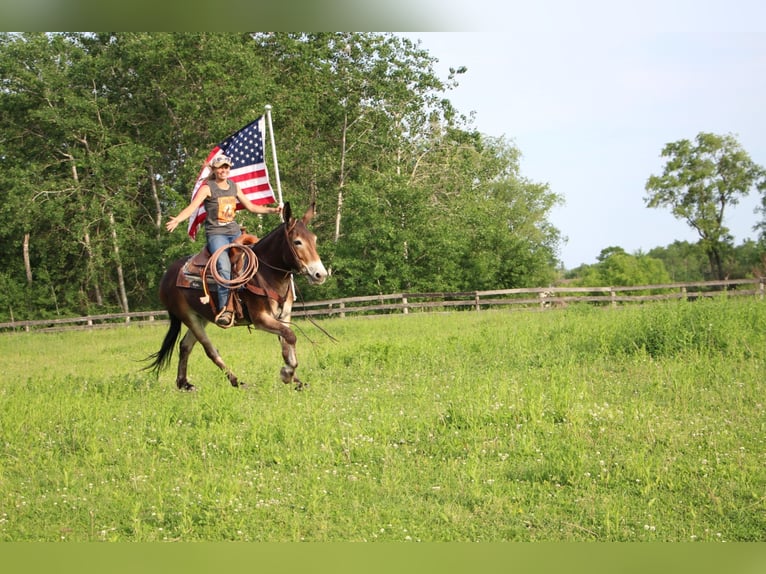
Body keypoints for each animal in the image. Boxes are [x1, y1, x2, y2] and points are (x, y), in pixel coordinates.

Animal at [146, 202, 328, 392]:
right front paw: (287, 373)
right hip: (188, 317)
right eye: (297, 241)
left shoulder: (284, 316)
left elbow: (286, 341)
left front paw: (295, 379)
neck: (266, 272)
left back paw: (184, 384)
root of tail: (167, 276)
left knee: (185, 345)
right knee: (209, 350)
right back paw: (236, 381)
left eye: (314, 240)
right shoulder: (261, 318)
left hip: (201, 316)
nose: (320, 274)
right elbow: (290, 336)